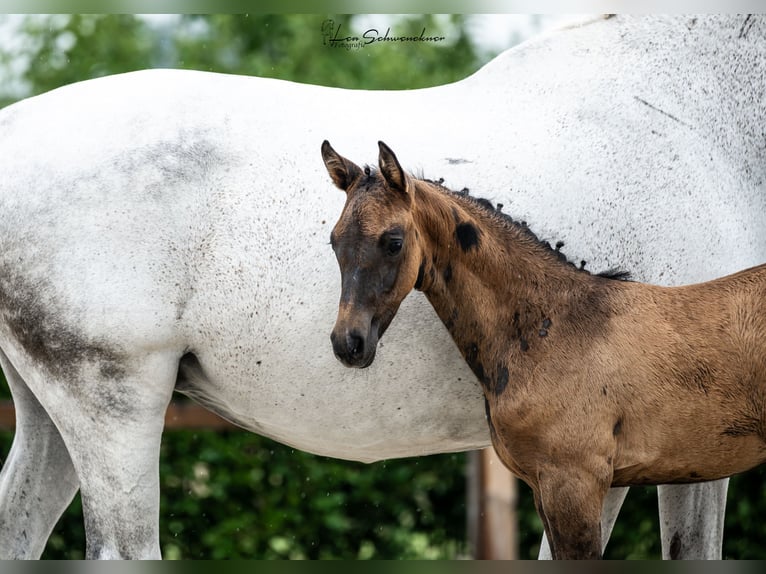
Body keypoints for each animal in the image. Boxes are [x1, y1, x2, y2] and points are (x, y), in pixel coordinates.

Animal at [323, 140, 766, 560]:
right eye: (333, 241)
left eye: (394, 241)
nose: (348, 343)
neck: (551, 328)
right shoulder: (544, 488)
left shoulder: (575, 484)